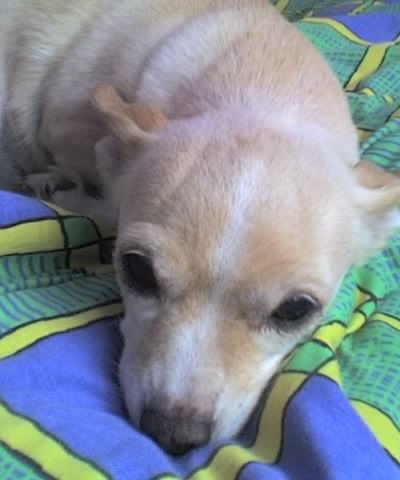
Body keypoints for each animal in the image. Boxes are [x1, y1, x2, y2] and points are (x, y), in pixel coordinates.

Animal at [1, 0, 400, 455]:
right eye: (136, 269)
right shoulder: (65, 130)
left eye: (296, 310)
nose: (172, 433)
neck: (259, 85)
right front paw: (60, 187)